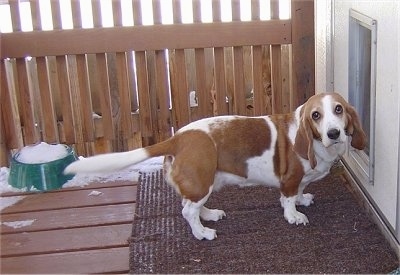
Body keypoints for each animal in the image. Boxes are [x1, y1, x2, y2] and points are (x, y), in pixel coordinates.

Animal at [65, 91, 366, 240]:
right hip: (202, 181)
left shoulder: (300, 180)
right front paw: (294, 216)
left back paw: (208, 215)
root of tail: (177, 138)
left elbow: (300, 192)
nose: (334, 133)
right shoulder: (289, 180)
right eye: (315, 115)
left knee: (192, 206)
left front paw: (303, 200)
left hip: (204, 182)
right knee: (187, 211)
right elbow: (289, 199)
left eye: (339, 109)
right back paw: (202, 232)